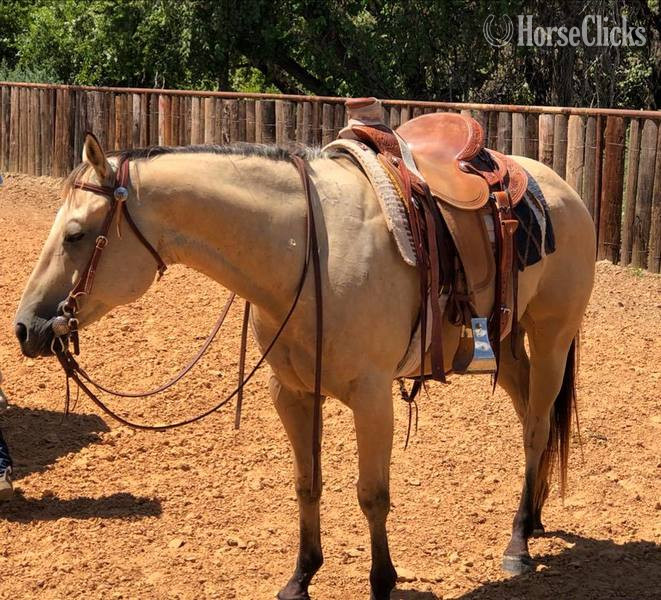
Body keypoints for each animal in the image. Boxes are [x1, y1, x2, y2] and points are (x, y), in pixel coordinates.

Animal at [15, 133, 595, 600]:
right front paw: (302, 576)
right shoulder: (291, 392)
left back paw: (518, 542)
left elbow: (372, 495)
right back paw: (534, 517)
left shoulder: (371, 397)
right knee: (532, 422)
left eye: (75, 234)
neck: (307, 253)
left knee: (535, 429)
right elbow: (306, 483)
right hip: (509, 342)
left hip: (552, 337)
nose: (26, 327)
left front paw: (382, 582)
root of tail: (560, 188)